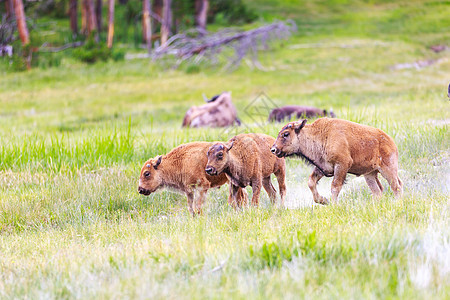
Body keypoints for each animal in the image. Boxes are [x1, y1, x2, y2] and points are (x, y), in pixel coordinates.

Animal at [268, 117, 402, 204]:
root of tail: (390, 141)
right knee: (378, 191)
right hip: (369, 174)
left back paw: (397, 203)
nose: (273, 149)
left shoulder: (342, 165)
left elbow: (335, 186)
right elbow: (311, 182)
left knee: (396, 186)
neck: (319, 134)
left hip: (388, 169)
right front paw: (323, 201)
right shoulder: (323, 167)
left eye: (285, 134)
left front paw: (333, 205)